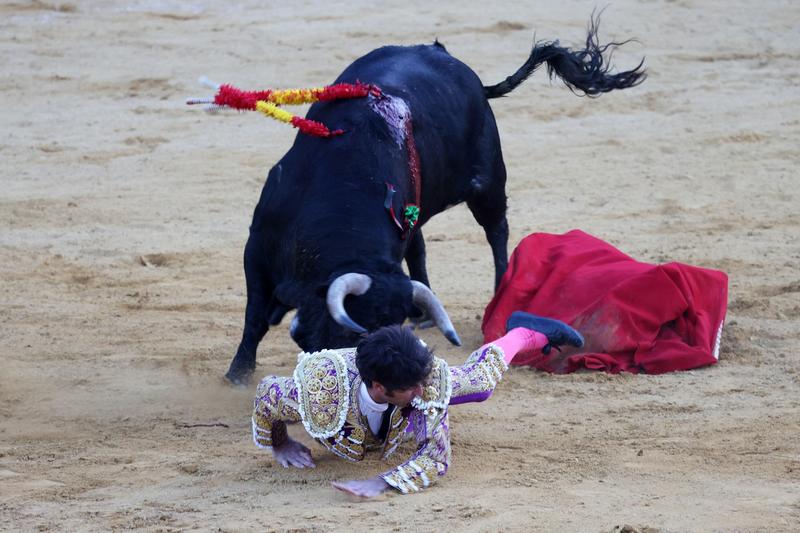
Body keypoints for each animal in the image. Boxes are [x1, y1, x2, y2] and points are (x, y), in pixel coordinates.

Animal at [223, 19, 644, 382]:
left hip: (488, 182)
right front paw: (237, 374)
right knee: (422, 246)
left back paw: (501, 292)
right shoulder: (256, 247)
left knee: (497, 231)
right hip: (419, 206)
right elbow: (255, 315)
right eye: (358, 329)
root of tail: (465, 72)